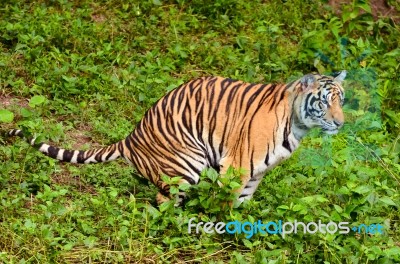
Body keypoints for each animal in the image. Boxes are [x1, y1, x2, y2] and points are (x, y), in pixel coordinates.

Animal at [6, 71, 346, 205]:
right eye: (324, 102)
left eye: (341, 99)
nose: (341, 123)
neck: (298, 126)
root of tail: (130, 137)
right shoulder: (236, 167)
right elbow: (226, 204)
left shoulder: (256, 173)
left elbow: (242, 203)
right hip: (187, 163)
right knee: (163, 201)